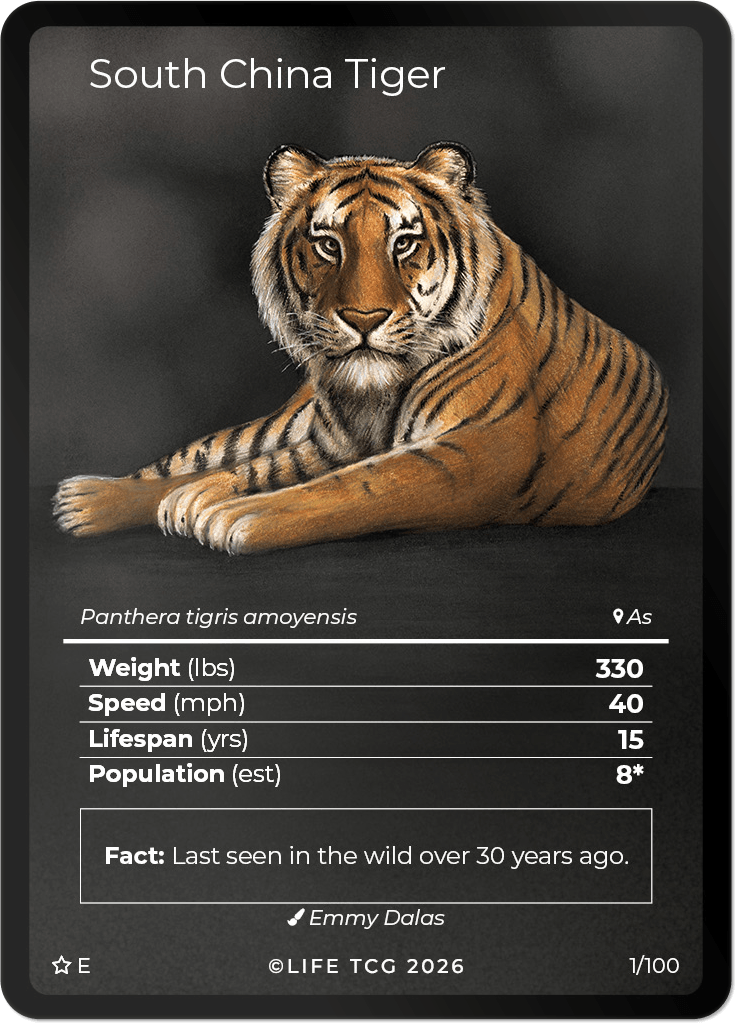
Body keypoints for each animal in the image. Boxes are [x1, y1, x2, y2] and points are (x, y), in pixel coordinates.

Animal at [53, 142, 668, 555]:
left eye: (405, 243)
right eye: (328, 244)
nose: (364, 319)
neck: (372, 396)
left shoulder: (476, 453)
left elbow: (352, 487)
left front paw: (229, 517)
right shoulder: (329, 442)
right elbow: (254, 469)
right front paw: (193, 500)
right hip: (283, 422)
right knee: (202, 455)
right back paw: (83, 500)